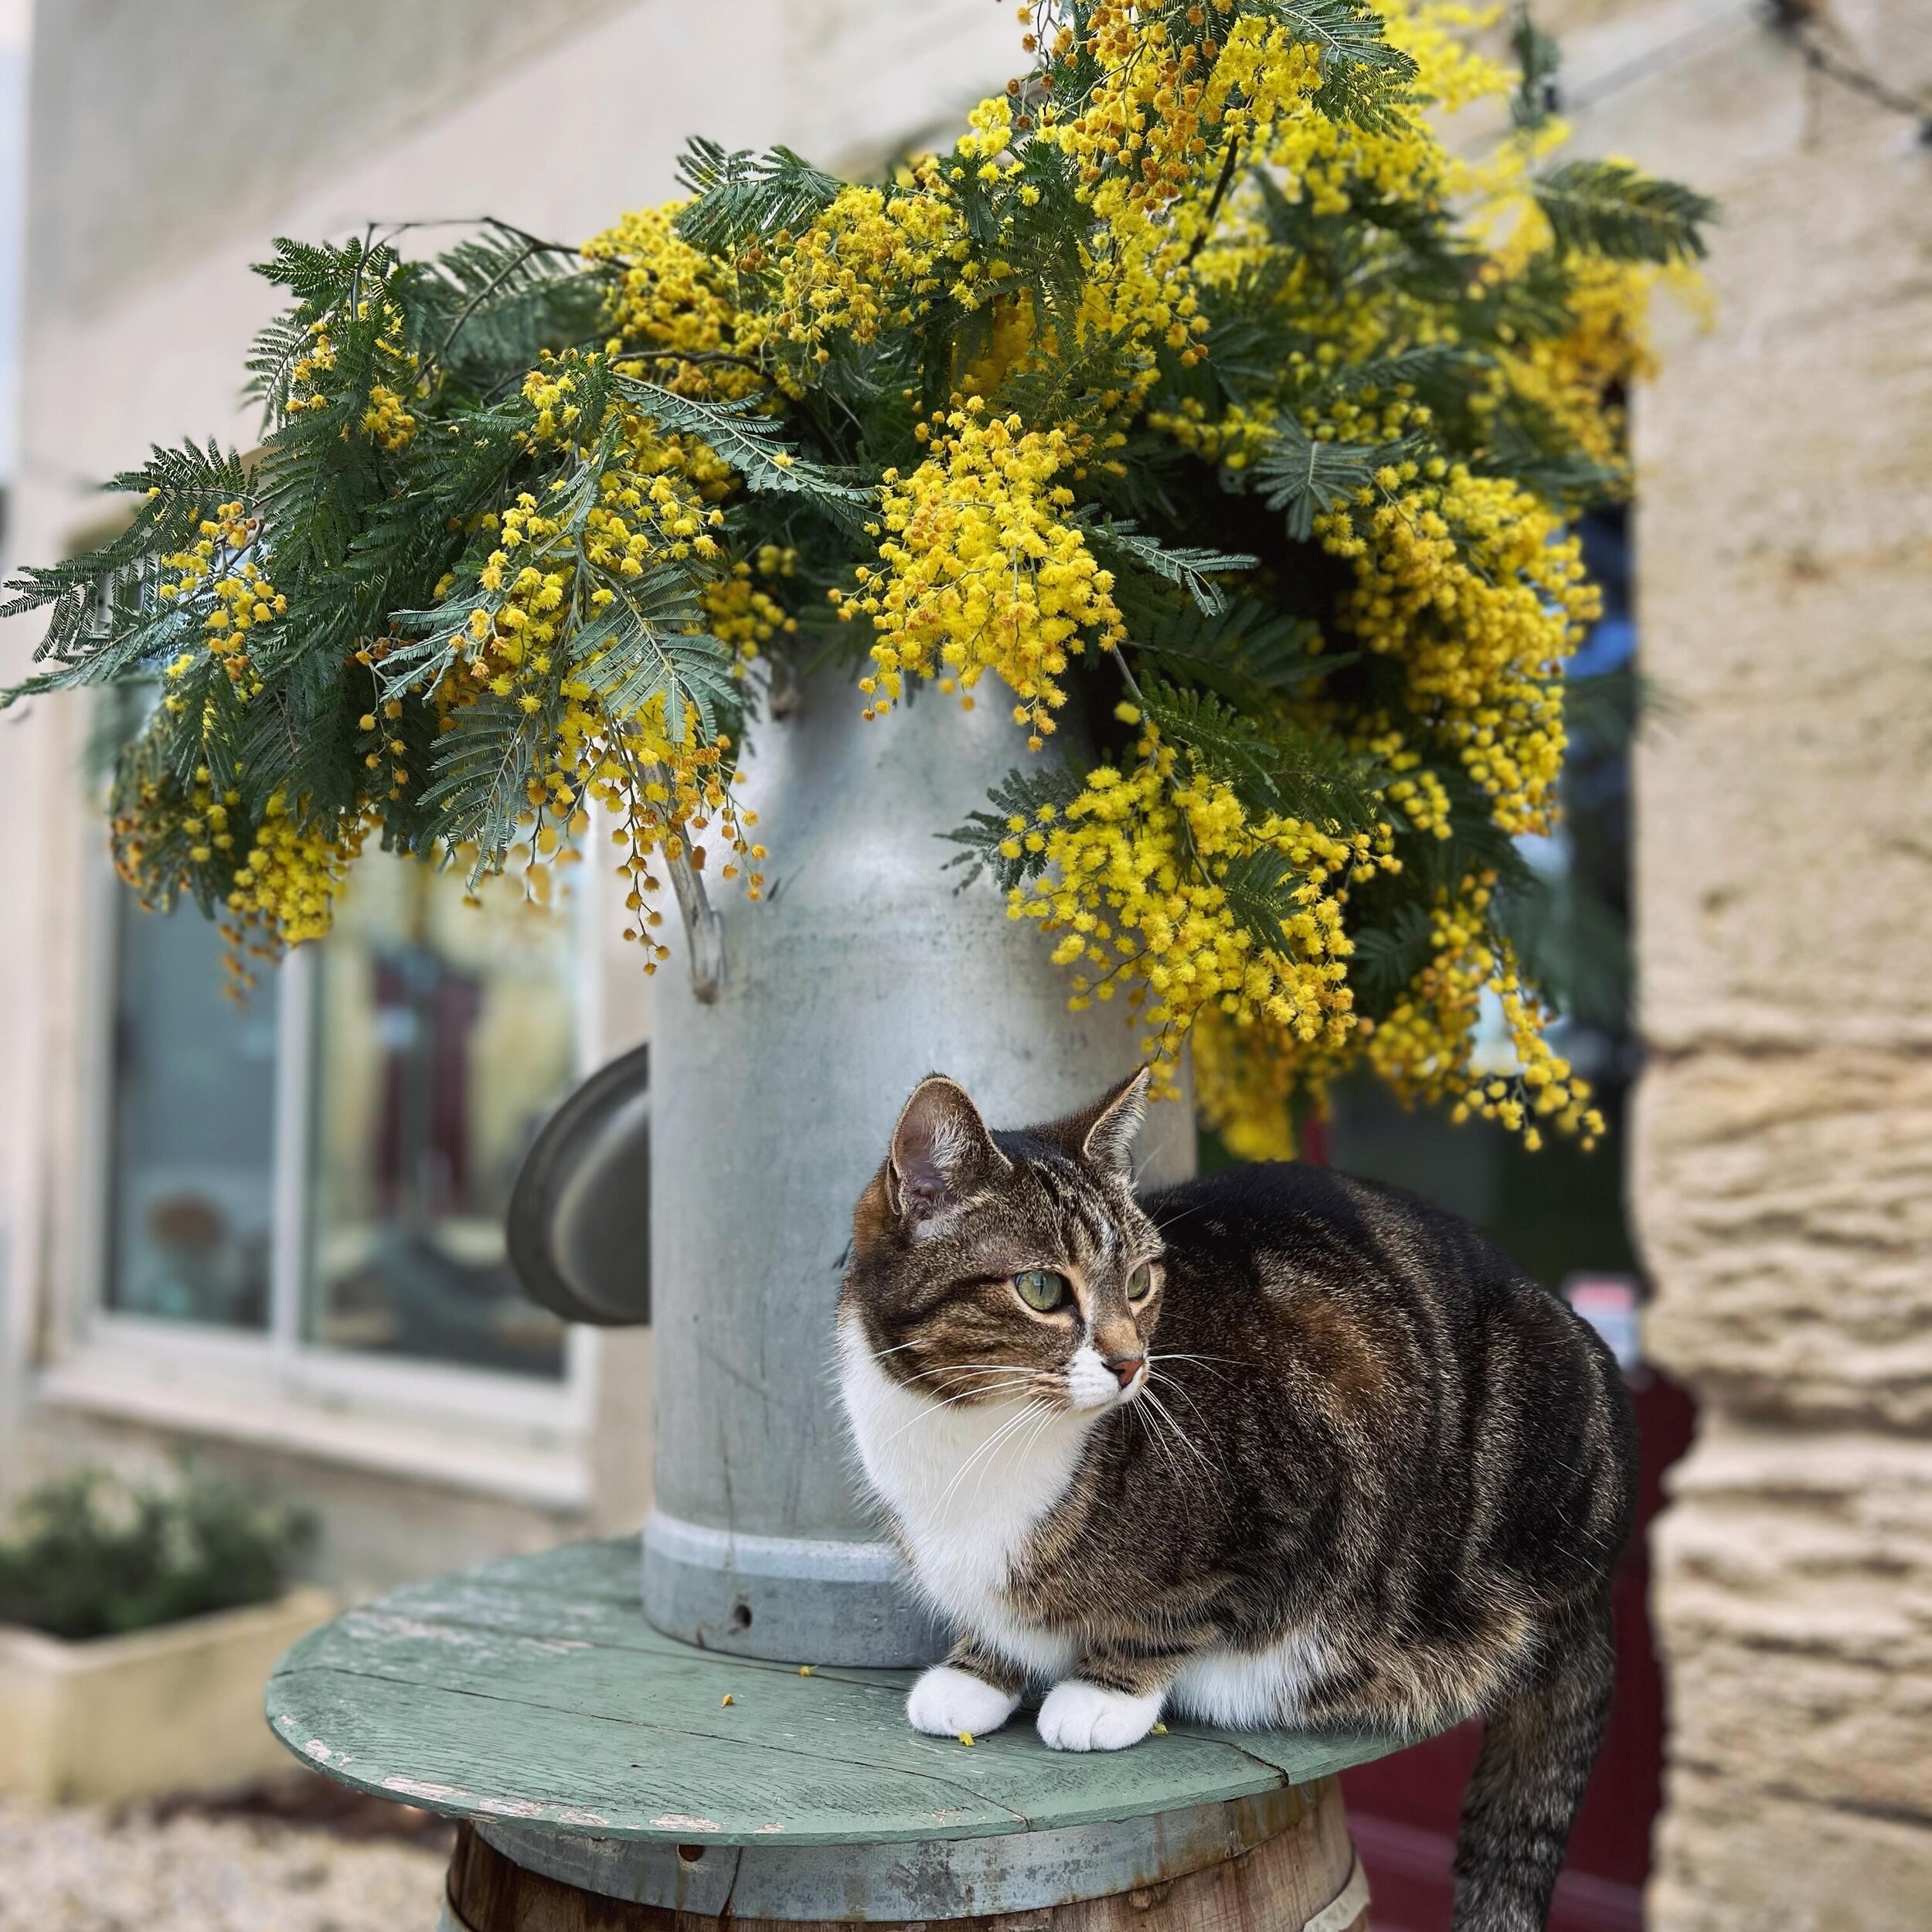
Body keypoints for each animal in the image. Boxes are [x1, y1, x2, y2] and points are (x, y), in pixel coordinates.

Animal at [838, 1074, 1638, 1932]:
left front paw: (1099, 1694)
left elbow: (1174, 1613)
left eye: (1140, 1282)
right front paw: (979, 1671)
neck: (973, 1435)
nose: (1132, 1363)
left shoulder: (1291, 1502)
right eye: (1042, 1288)